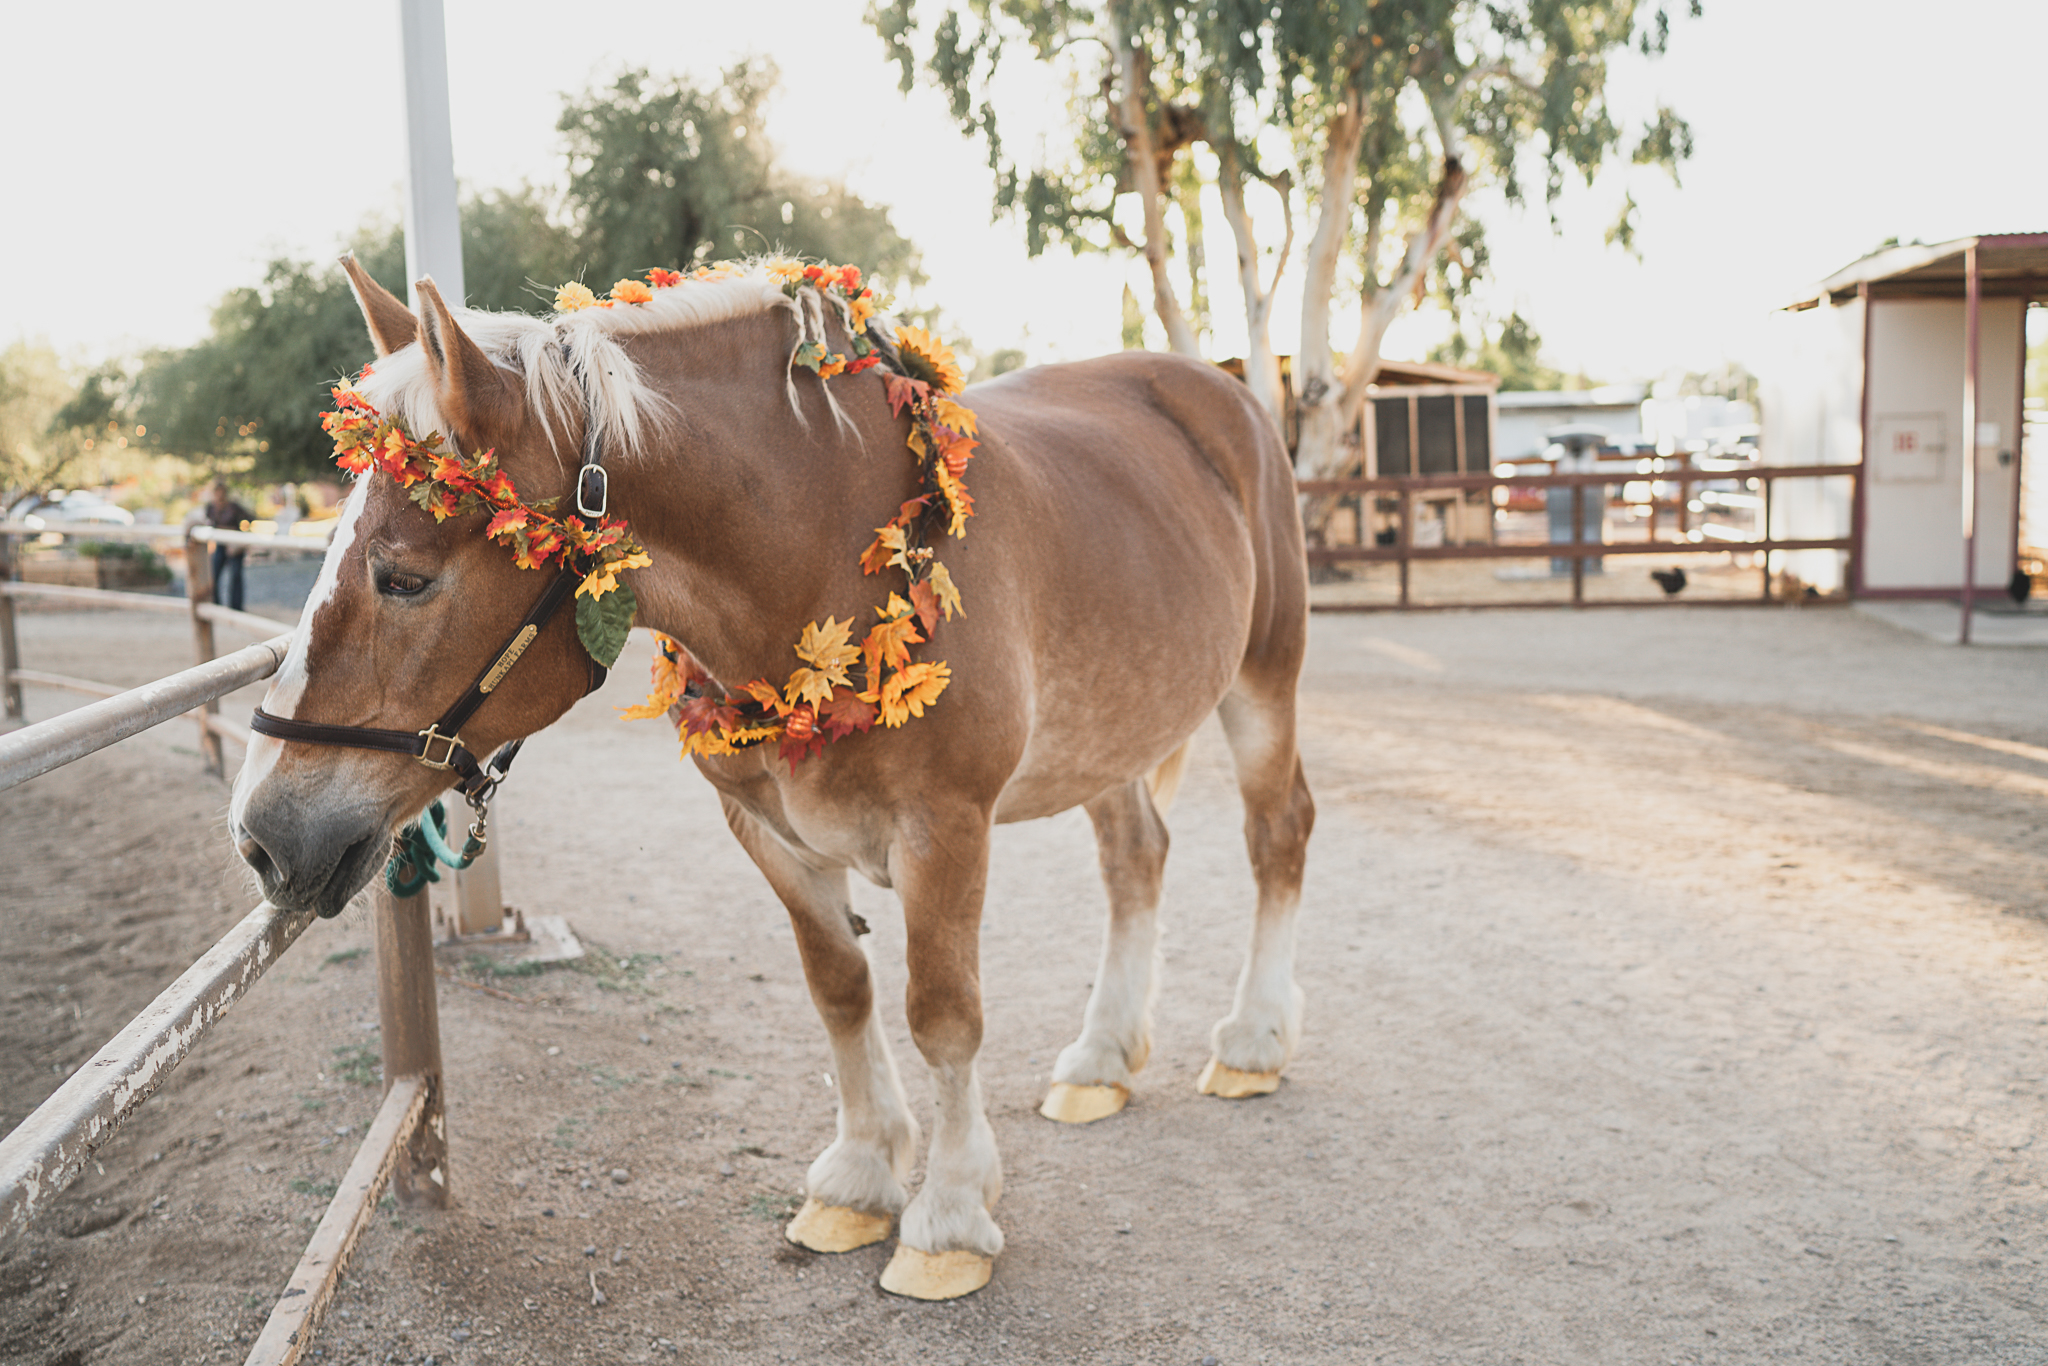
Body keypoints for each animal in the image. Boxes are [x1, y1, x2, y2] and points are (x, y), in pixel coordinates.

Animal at [224, 259, 1310, 1302]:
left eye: (403, 576)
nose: (266, 831)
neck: (825, 545)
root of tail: (1216, 390)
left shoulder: (946, 830)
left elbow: (941, 1014)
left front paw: (950, 1215)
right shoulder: (766, 830)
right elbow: (840, 991)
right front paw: (862, 1175)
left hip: (1263, 679)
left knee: (1276, 836)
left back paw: (1252, 1040)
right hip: (1111, 732)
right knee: (1135, 857)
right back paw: (1102, 1057)